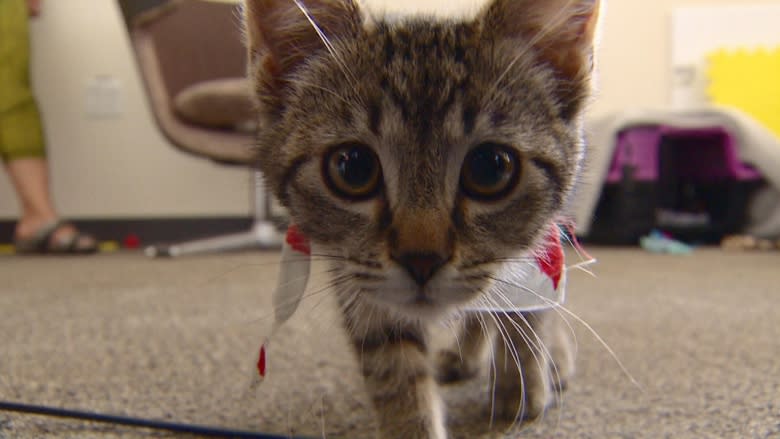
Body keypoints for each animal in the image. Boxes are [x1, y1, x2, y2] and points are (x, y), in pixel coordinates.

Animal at [245, 1, 604, 438]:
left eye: (491, 168)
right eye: (352, 167)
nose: (421, 260)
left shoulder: (537, 243)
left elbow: (525, 310)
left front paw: (522, 383)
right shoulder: (355, 277)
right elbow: (392, 363)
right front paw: (412, 421)